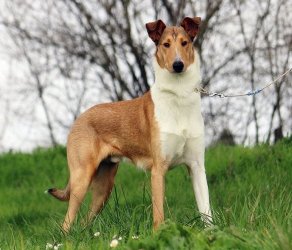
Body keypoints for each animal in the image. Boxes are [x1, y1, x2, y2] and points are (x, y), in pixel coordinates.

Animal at [48, 16, 212, 232]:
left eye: (185, 43)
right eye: (166, 44)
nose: (178, 65)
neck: (179, 95)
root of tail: (79, 118)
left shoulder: (197, 166)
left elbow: (207, 212)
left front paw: (215, 233)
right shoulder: (158, 170)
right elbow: (158, 215)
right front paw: (159, 235)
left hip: (104, 186)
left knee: (84, 221)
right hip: (81, 178)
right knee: (66, 223)